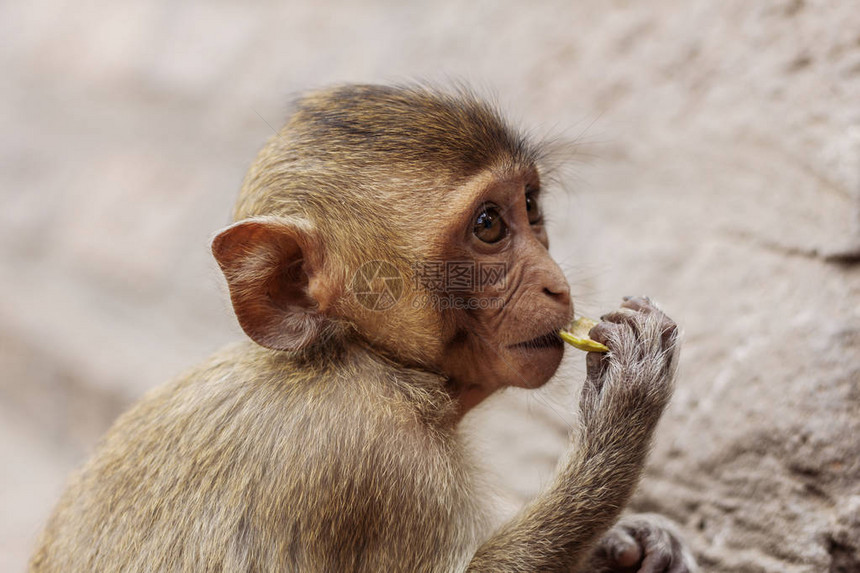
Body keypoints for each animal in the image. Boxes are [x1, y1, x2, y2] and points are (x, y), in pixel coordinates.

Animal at [30, 85, 696, 572]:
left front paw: (631, 543)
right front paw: (625, 409)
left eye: (529, 206)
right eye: (488, 225)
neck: (355, 355)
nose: (555, 285)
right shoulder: (378, 458)